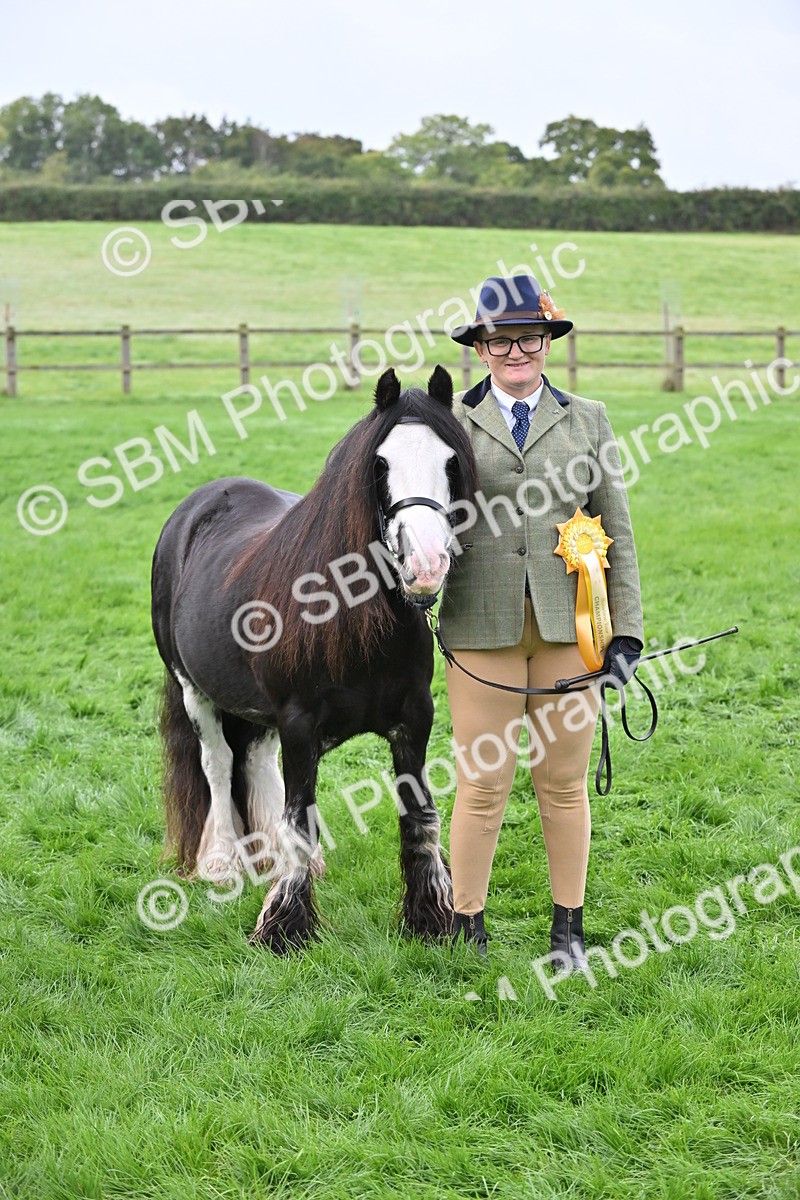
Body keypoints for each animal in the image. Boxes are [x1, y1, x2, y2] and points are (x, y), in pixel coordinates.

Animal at [151, 366, 478, 953]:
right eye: (380, 465)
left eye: (451, 462)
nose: (425, 564)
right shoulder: (300, 725)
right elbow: (298, 821)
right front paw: (286, 928)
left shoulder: (414, 720)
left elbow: (419, 816)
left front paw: (430, 918)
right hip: (195, 690)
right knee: (218, 765)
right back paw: (222, 863)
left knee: (254, 762)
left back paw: (264, 859)